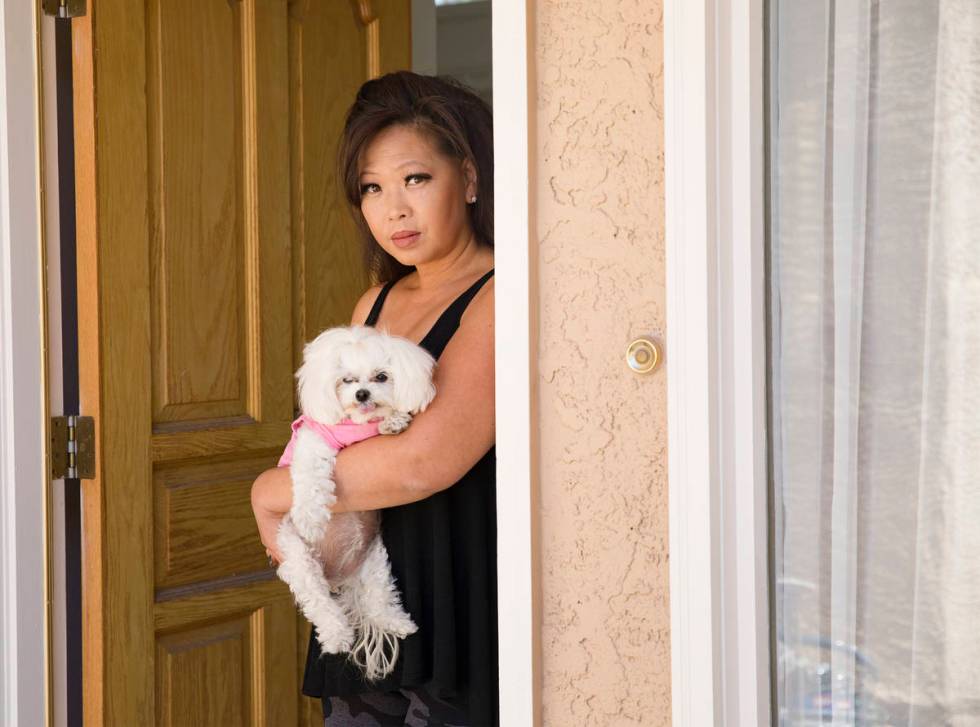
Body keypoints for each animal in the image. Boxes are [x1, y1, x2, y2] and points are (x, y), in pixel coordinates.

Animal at [272, 324, 432, 684]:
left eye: (381, 376)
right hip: (299, 560)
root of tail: (337, 576)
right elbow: (311, 476)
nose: (362, 394)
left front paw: (394, 421)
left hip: (373, 560)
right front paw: (311, 518)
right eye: (346, 380)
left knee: (379, 596)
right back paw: (337, 636)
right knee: (319, 602)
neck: (355, 426)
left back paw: (397, 622)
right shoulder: (313, 440)